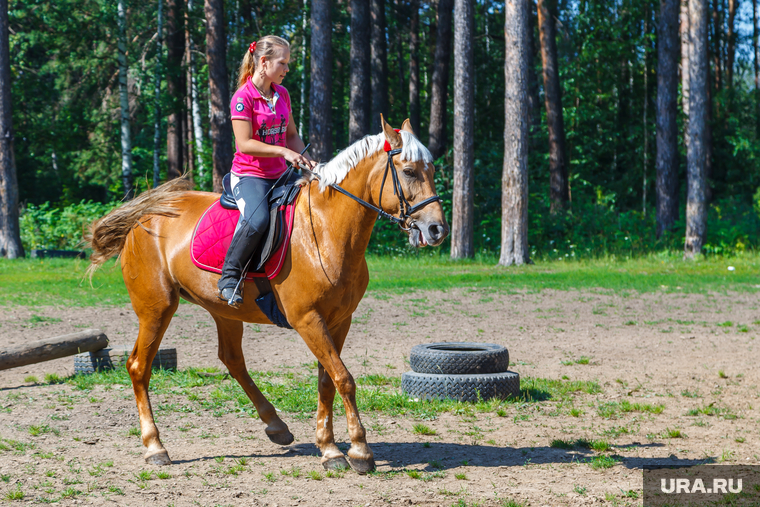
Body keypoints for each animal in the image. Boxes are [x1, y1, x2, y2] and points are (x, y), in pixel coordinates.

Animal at [86, 117, 448, 474]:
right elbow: (344, 378)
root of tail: (145, 214)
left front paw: (329, 447)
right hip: (157, 308)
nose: (437, 230)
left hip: (223, 310)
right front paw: (359, 450)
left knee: (232, 360)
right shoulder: (307, 319)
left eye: (430, 170)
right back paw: (155, 447)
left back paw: (277, 426)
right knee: (138, 366)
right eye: (409, 171)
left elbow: (327, 380)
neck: (327, 229)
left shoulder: (339, 320)